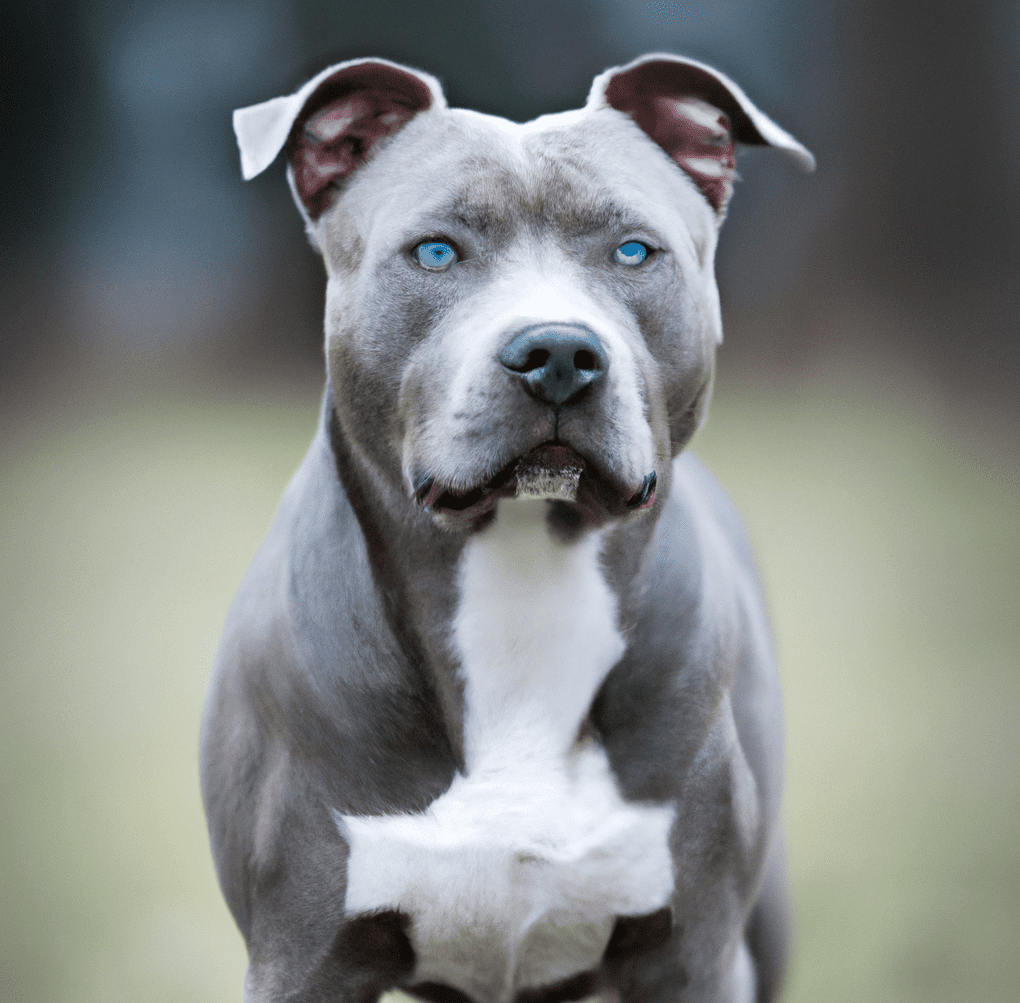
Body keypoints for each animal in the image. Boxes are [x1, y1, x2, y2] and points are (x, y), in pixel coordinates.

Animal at [200, 56, 811, 1003]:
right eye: (435, 250)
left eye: (633, 250)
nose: (558, 351)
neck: (521, 579)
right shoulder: (301, 954)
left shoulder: (696, 954)